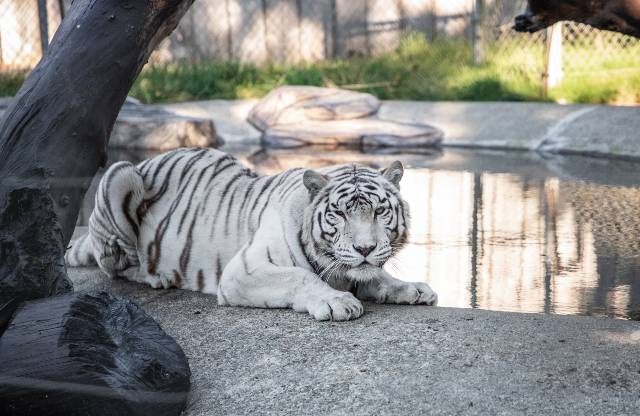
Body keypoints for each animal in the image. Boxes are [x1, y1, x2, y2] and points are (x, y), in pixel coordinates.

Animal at [67, 148, 438, 320]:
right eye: (340, 213)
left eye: (379, 211)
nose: (364, 248)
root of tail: (145, 162)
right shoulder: (243, 271)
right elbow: (299, 277)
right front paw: (338, 302)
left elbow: (377, 275)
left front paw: (412, 289)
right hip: (120, 174)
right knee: (115, 264)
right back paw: (157, 276)